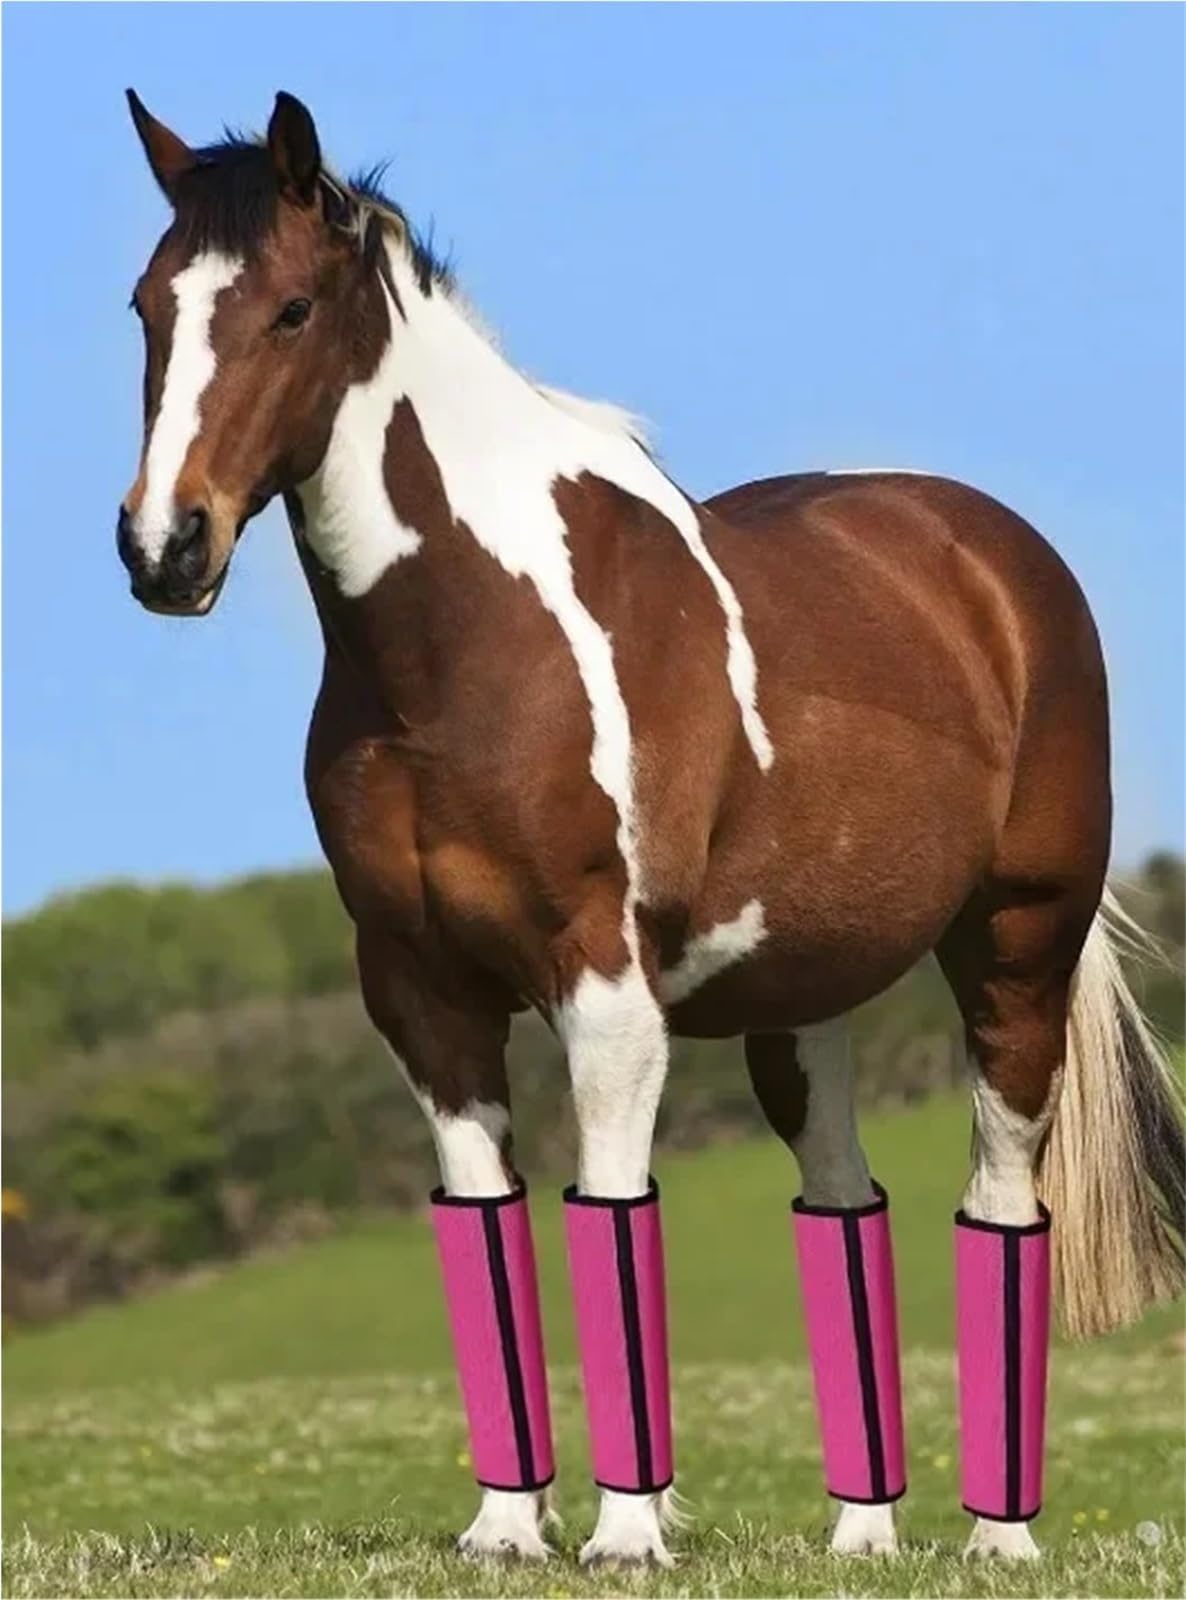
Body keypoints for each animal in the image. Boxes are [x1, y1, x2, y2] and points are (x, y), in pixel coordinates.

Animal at [117, 90, 1183, 1566]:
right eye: (147, 306)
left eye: (287, 310)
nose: (165, 549)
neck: (468, 644)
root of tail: (993, 559)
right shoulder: (422, 995)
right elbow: (485, 1222)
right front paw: (506, 1531)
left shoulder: (605, 983)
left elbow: (613, 1215)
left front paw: (625, 1535)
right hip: (804, 994)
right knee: (842, 1201)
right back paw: (862, 1539)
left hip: (1014, 954)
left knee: (999, 1201)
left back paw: (997, 1541)